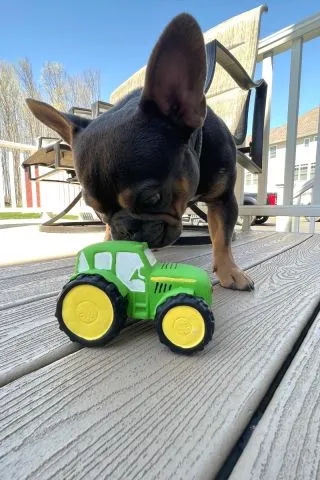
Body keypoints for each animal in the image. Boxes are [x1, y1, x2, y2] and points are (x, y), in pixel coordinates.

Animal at [26, 13, 254, 290]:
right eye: (96, 210)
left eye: (152, 199)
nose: (124, 230)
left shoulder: (224, 200)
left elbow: (222, 237)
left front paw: (229, 270)